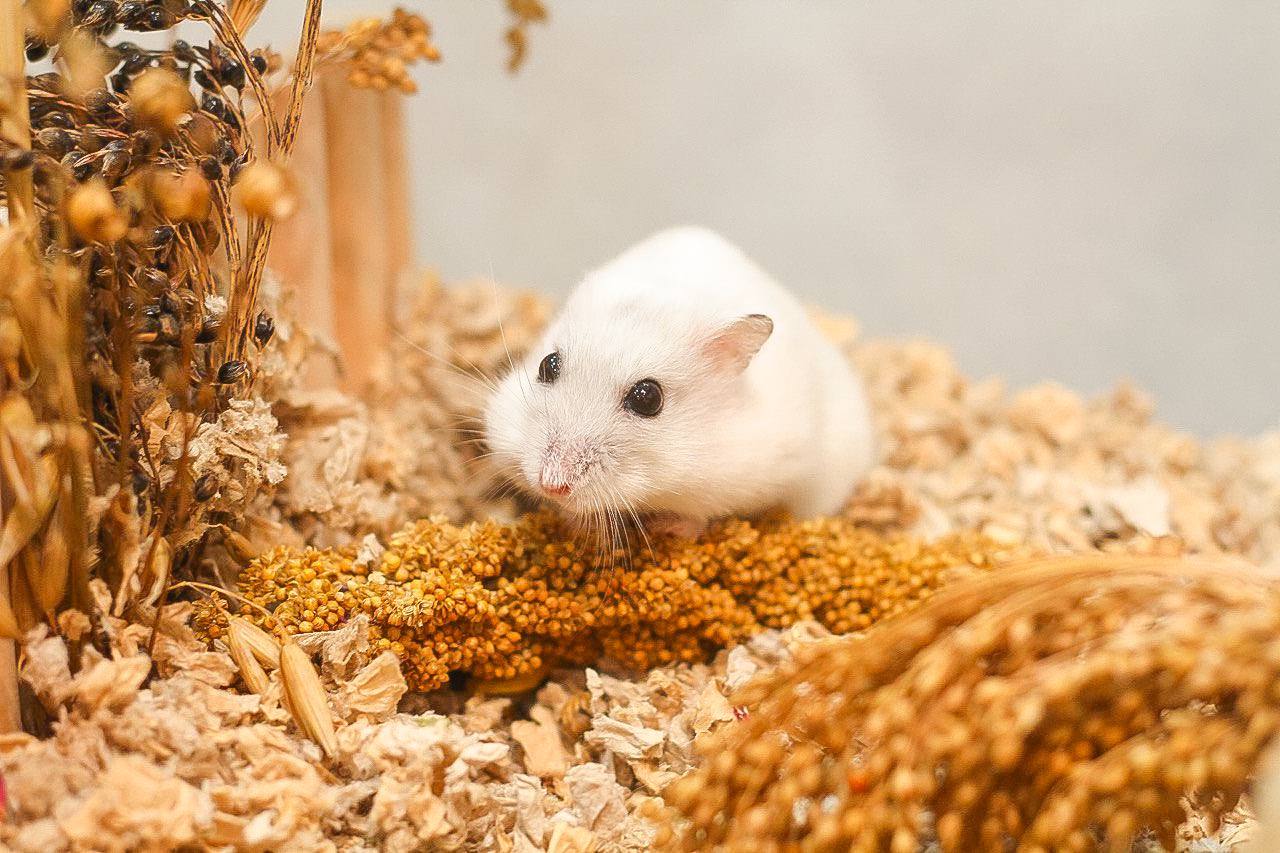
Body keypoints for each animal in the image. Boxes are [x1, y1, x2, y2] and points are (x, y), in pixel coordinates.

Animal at [483, 224, 875, 532]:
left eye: (648, 398)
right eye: (547, 365)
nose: (551, 485)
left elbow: (700, 515)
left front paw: (669, 528)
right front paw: (570, 520)